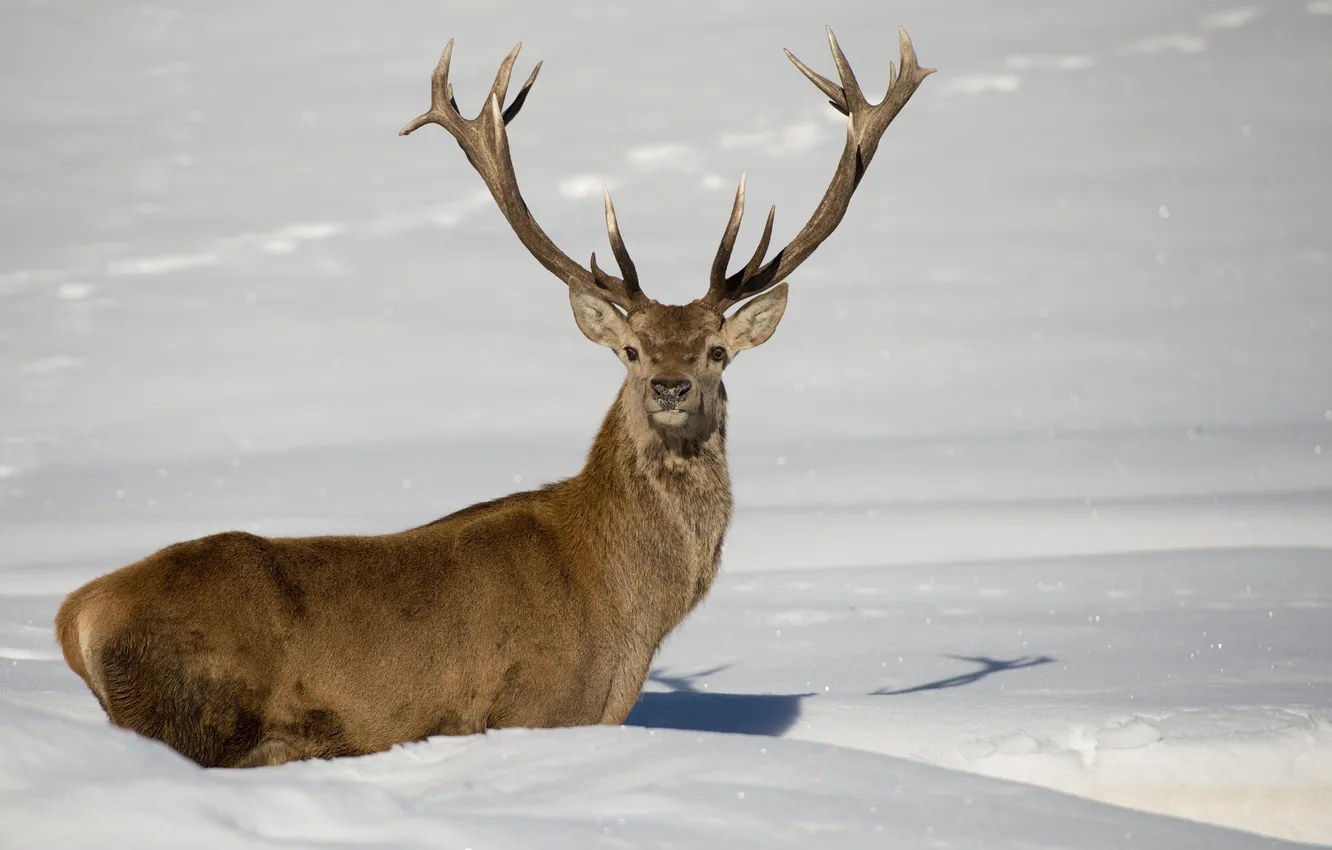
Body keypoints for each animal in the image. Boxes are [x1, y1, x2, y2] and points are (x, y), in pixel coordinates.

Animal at [54, 26, 933, 768]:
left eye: (717, 351)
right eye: (631, 349)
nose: (671, 384)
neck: (627, 612)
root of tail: (75, 617)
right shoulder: (535, 710)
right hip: (194, 716)